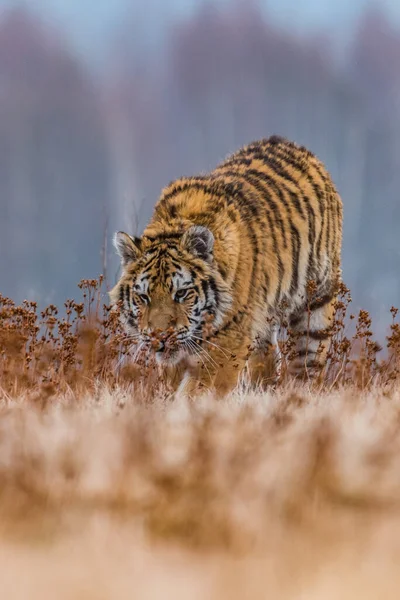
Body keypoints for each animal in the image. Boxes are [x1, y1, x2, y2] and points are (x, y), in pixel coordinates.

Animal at [110, 137, 344, 398]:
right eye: (143, 296)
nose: (160, 336)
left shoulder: (226, 342)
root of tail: (290, 144)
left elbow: (194, 392)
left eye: (181, 293)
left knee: (307, 364)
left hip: (316, 304)